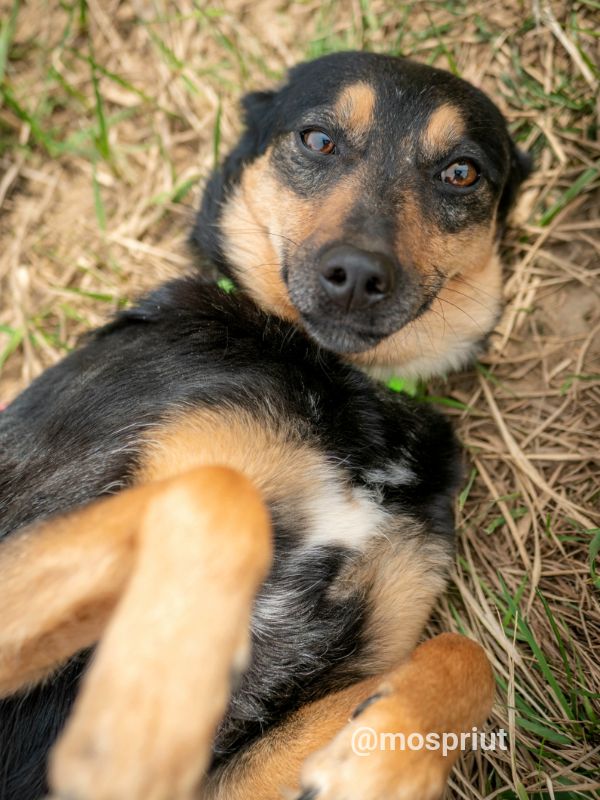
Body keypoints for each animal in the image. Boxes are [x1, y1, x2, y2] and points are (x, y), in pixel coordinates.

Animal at [0, 51, 524, 800]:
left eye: (461, 172)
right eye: (317, 139)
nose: (357, 274)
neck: (340, 383)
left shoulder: (237, 766)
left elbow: (465, 652)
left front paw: (385, 767)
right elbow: (219, 490)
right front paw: (151, 703)